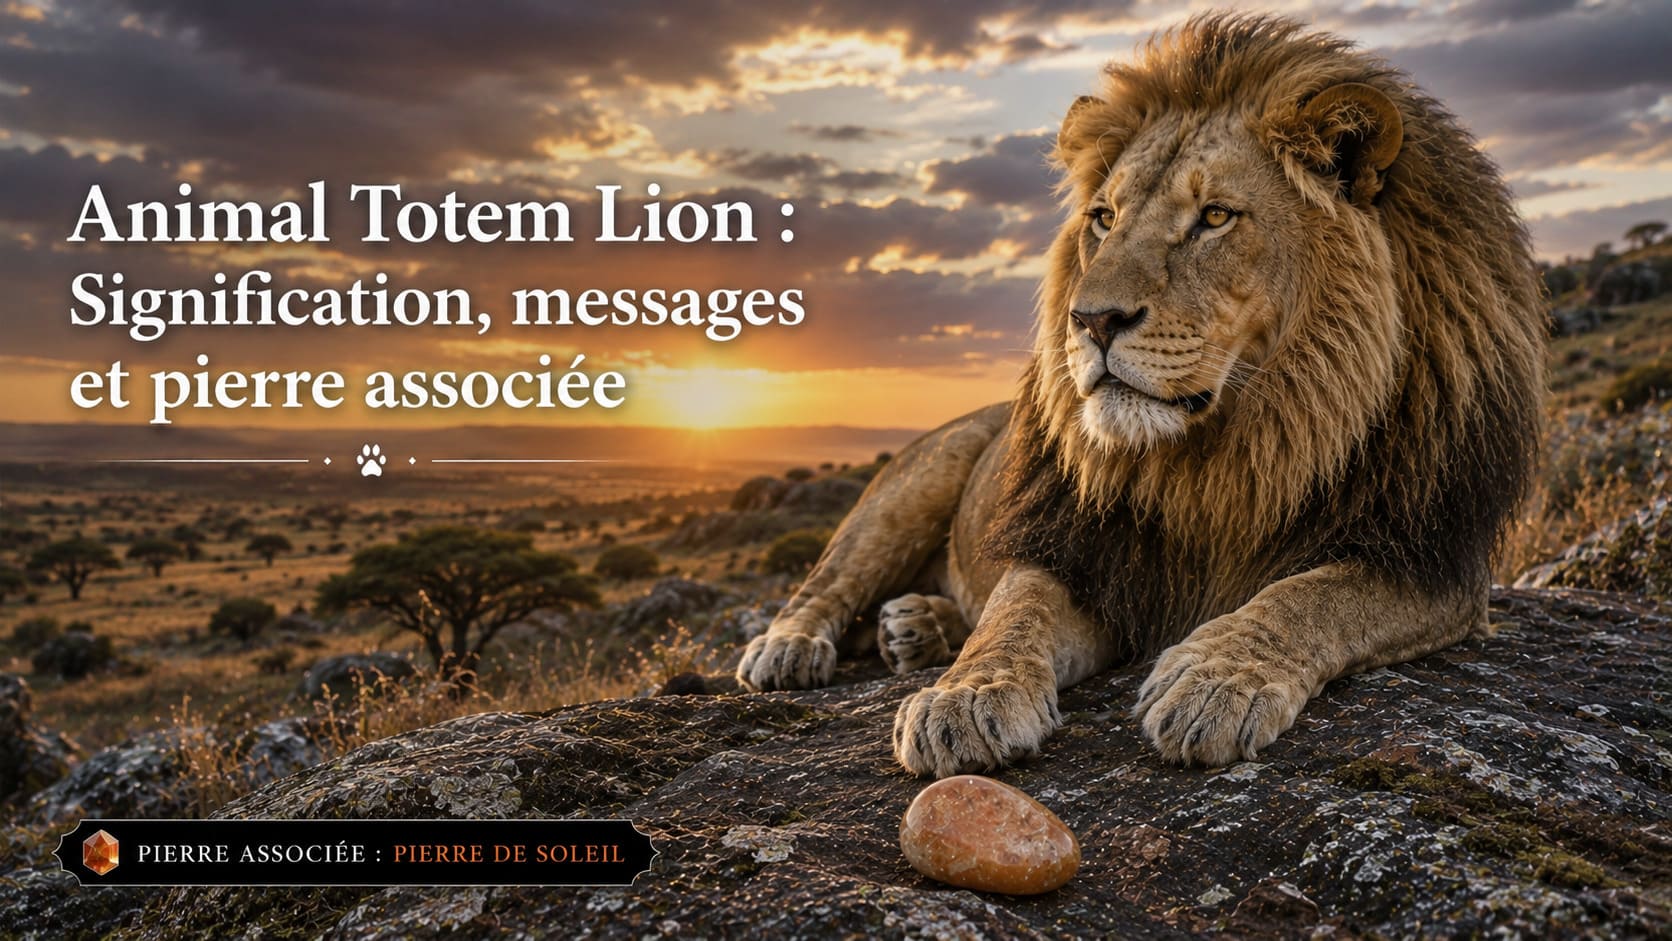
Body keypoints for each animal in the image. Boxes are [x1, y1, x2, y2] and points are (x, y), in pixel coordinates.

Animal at [736, 12, 1545, 777]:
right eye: (1105, 218)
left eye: (1215, 217)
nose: (1091, 320)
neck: (1232, 450)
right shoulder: (1084, 550)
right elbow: (1014, 613)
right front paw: (964, 696)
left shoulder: (1433, 559)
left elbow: (1313, 596)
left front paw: (1217, 679)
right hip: (910, 488)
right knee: (825, 584)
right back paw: (793, 648)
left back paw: (915, 627)